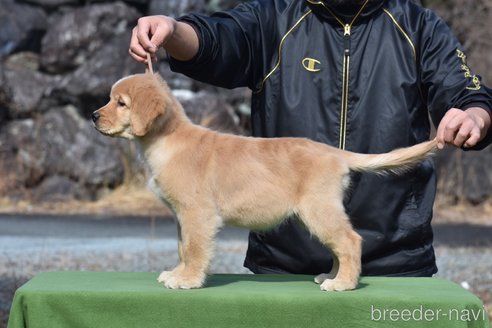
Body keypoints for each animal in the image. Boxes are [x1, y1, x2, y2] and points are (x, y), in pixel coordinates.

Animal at [93, 73, 438, 290]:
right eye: (110, 99)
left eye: (121, 103)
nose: (94, 116)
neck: (167, 139)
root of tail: (335, 152)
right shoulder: (182, 216)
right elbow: (182, 247)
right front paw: (177, 273)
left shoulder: (197, 213)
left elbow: (194, 248)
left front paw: (188, 280)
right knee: (340, 245)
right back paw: (330, 275)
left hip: (318, 210)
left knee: (351, 241)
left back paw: (343, 284)